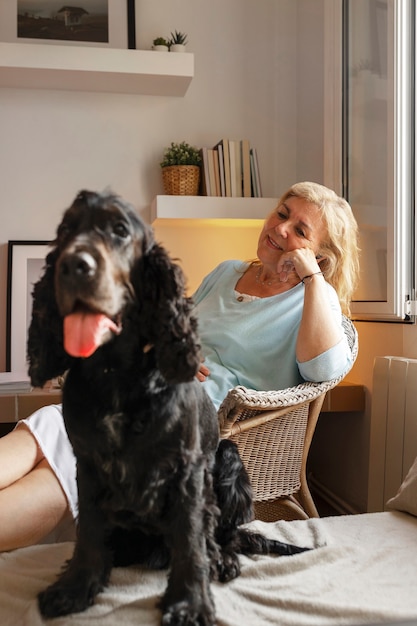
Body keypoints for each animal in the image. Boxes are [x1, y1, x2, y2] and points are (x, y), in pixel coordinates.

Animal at [26, 190, 306, 624]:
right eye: (66, 229)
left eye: (120, 230)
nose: (74, 266)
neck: (116, 375)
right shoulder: (87, 464)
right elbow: (88, 531)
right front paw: (77, 586)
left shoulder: (185, 469)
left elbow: (190, 538)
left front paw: (189, 601)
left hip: (228, 458)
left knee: (223, 534)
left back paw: (221, 559)